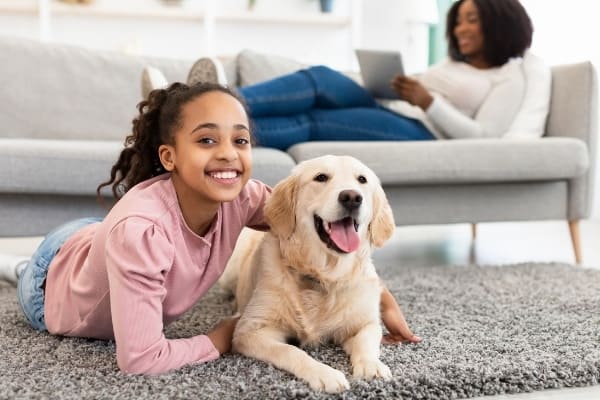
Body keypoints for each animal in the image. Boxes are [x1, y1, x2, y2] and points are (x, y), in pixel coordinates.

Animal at [218, 155, 396, 392]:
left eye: (362, 179)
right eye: (321, 177)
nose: (352, 197)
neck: (325, 275)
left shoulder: (365, 323)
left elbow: (367, 342)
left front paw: (371, 366)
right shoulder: (250, 331)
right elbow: (290, 350)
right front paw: (325, 373)